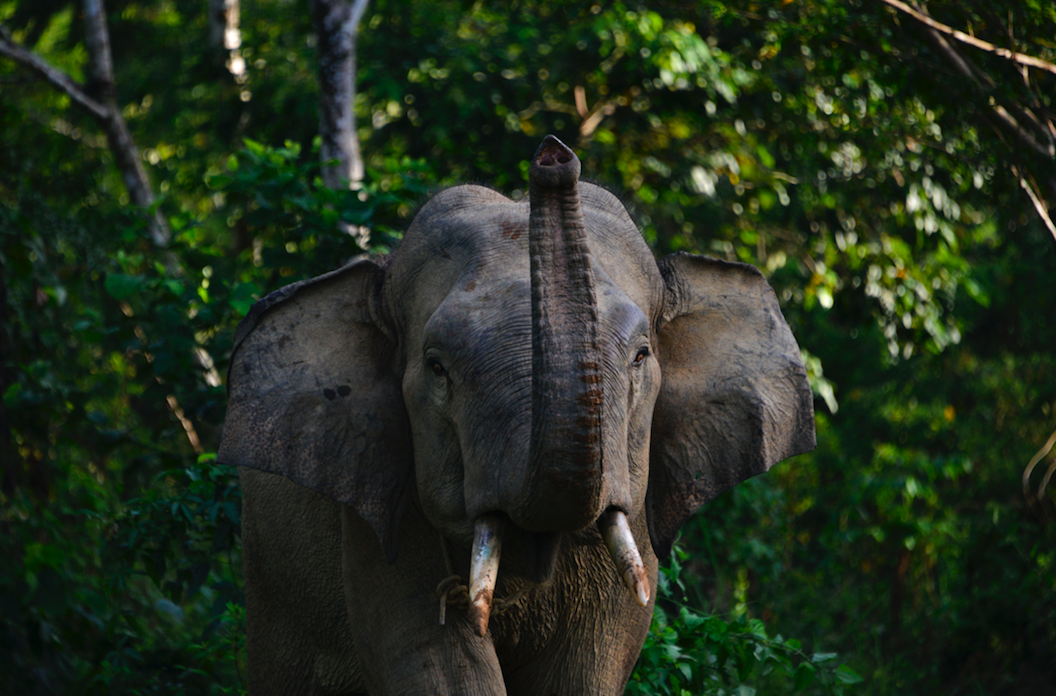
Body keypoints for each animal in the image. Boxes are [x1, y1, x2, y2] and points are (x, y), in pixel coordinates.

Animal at [218, 137, 815, 696]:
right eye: (437, 367)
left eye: (641, 356)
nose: (553, 156)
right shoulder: (380, 507)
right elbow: (436, 666)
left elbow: (586, 672)